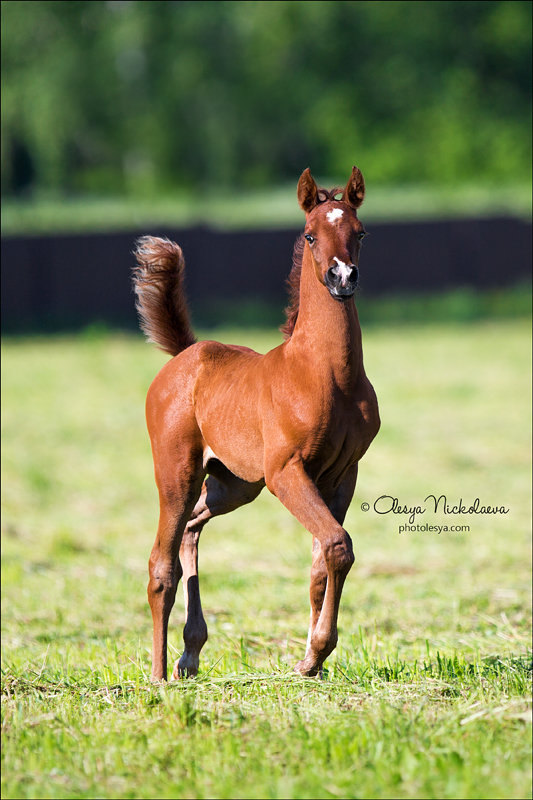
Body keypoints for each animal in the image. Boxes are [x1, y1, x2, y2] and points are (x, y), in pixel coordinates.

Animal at [135, 166, 380, 680]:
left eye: (361, 232)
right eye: (310, 235)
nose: (342, 277)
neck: (324, 373)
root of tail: (187, 353)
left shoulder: (342, 475)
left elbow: (320, 562)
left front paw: (312, 661)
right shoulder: (285, 471)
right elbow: (337, 544)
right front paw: (317, 653)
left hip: (234, 485)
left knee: (192, 529)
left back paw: (191, 651)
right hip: (178, 472)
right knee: (161, 564)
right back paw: (159, 675)